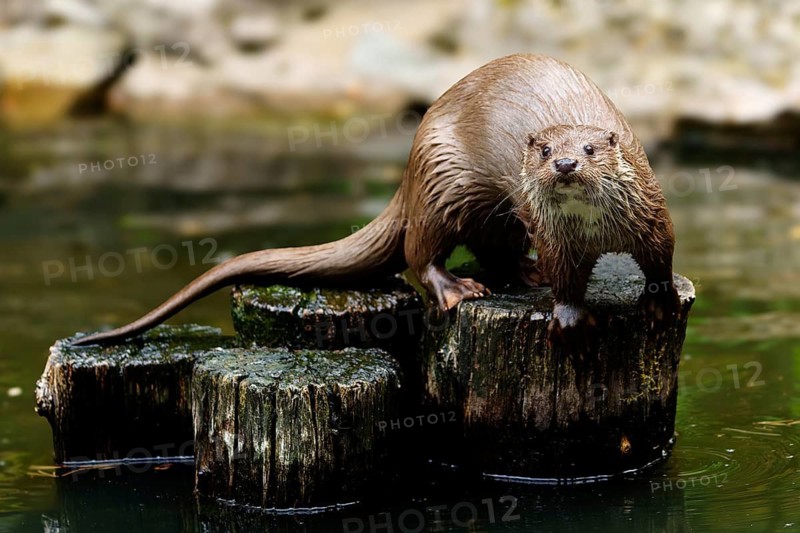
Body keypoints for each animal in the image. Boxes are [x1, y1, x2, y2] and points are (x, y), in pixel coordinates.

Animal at [74, 53, 679, 347]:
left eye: (591, 147)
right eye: (547, 148)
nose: (566, 164)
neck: (595, 231)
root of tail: (410, 160)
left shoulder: (652, 216)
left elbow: (661, 259)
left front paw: (660, 302)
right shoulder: (557, 238)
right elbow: (566, 278)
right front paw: (571, 319)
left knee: (493, 246)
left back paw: (521, 274)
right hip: (444, 182)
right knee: (420, 251)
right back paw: (457, 288)